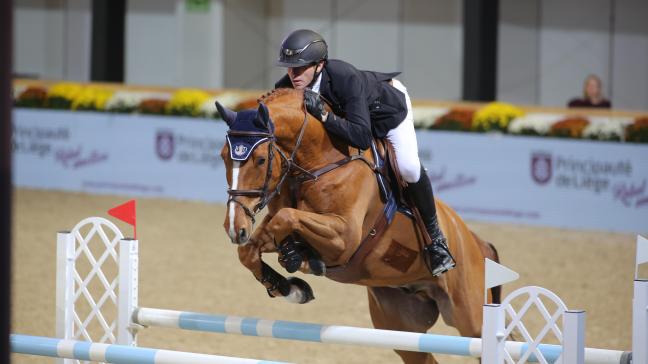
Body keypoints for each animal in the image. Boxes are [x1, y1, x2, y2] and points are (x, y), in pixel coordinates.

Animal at [218, 89, 502, 364]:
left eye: (260, 160)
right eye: (222, 157)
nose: (234, 228)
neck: (322, 161)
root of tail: (475, 241)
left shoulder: (343, 238)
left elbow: (286, 217)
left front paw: (301, 261)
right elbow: (251, 249)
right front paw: (292, 287)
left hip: (469, 316)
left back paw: (441, 255)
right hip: (400, 325)